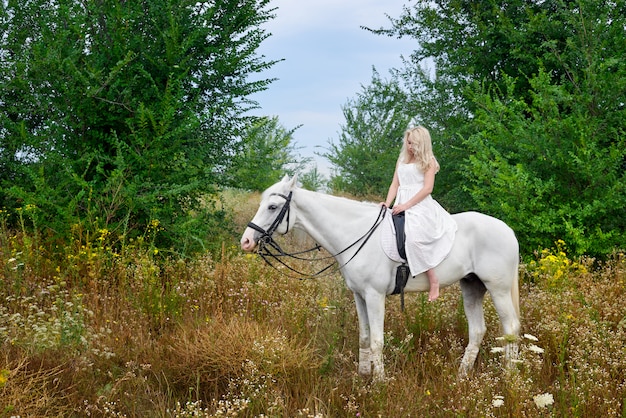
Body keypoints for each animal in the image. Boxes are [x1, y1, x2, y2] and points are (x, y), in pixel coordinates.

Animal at [239, 175, 516, 380]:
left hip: (499, 290)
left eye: (272, 207)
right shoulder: (359, 296)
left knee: (511, 329)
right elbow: (363, 336)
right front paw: (363, 375)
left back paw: (510, 379)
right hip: (472, 287)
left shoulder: (374, 296)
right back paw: (461, 376)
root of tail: (507, 229)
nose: (246, 241)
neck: (357, 233)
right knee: (477, 331)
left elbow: (376, 340)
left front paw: (379, 383)